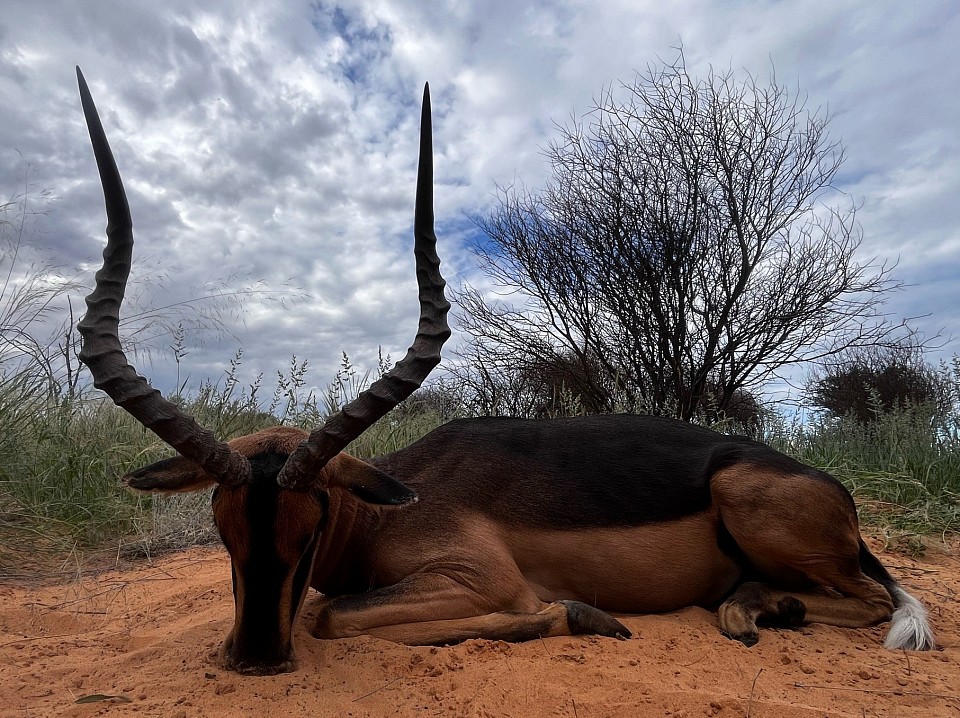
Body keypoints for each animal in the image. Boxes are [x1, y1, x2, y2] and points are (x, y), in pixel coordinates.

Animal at [76, 68, 936, 677]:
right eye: (221, 525)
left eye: (312, 521)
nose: (254, 658)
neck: (388, 506)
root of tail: (824, 485)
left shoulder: (478, 580)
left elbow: (332, 614)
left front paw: (582, 615)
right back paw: (754, 606)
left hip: (764, 514)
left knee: (871, 599)